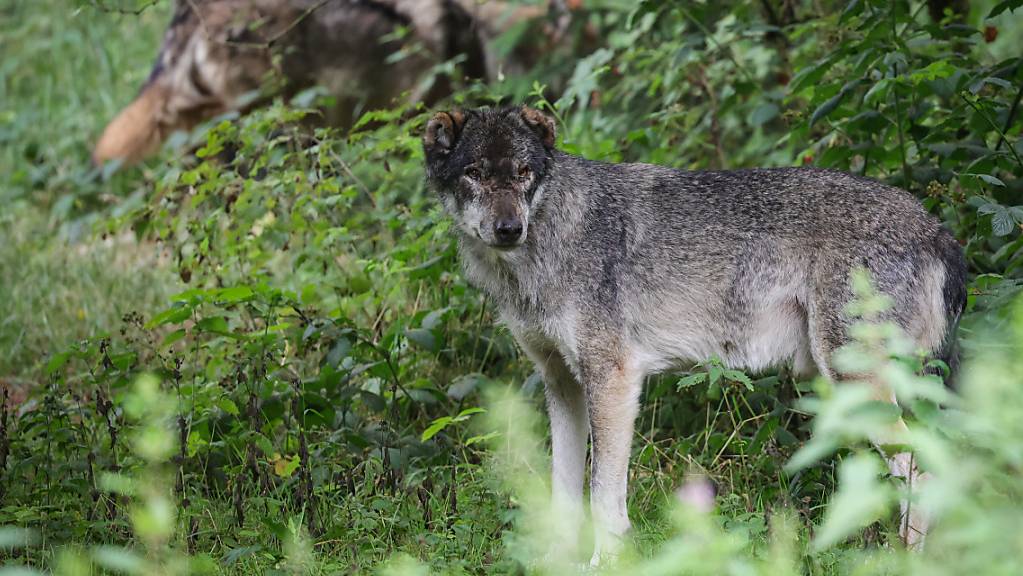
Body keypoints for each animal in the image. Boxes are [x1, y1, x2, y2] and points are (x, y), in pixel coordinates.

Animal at [421, 105, 965, 560]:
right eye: (474, 173)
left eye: (523, 173)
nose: (508, 228)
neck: (547, 242)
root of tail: (937, 230)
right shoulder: (563, 384)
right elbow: (562, 496)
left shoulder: (613, 379)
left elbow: (603, 499)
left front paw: (604, 563)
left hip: (858, 386)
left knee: (925, 469)